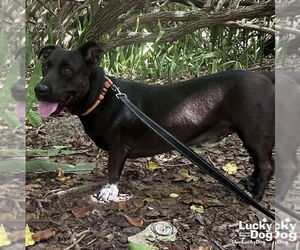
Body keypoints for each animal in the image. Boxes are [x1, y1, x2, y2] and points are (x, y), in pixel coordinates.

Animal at [34, 41, 274, 201]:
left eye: (67, 70)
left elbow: (112, 170)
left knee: (266, 166)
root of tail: (264, 76)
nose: (39, 89)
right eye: (45, 66)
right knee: (259, 164)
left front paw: (109, 191)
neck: (102, 97)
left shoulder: (119, 147)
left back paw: (256, 196)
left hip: (254, 134)